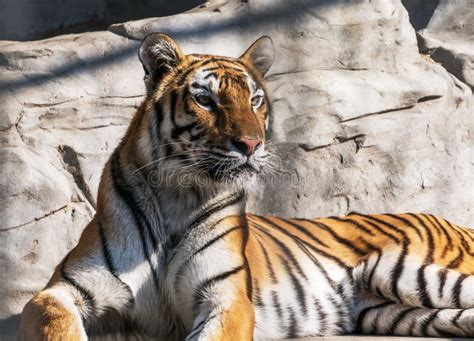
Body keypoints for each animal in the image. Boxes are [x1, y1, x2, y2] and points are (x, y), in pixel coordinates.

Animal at [18, 32, 474, 340]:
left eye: (255, 100)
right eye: (205, 99)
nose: (252, 144)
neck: (177, 194)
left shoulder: (226, 296)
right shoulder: (64, 288)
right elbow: (53, 318)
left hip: (405, 271)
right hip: (392, 308)